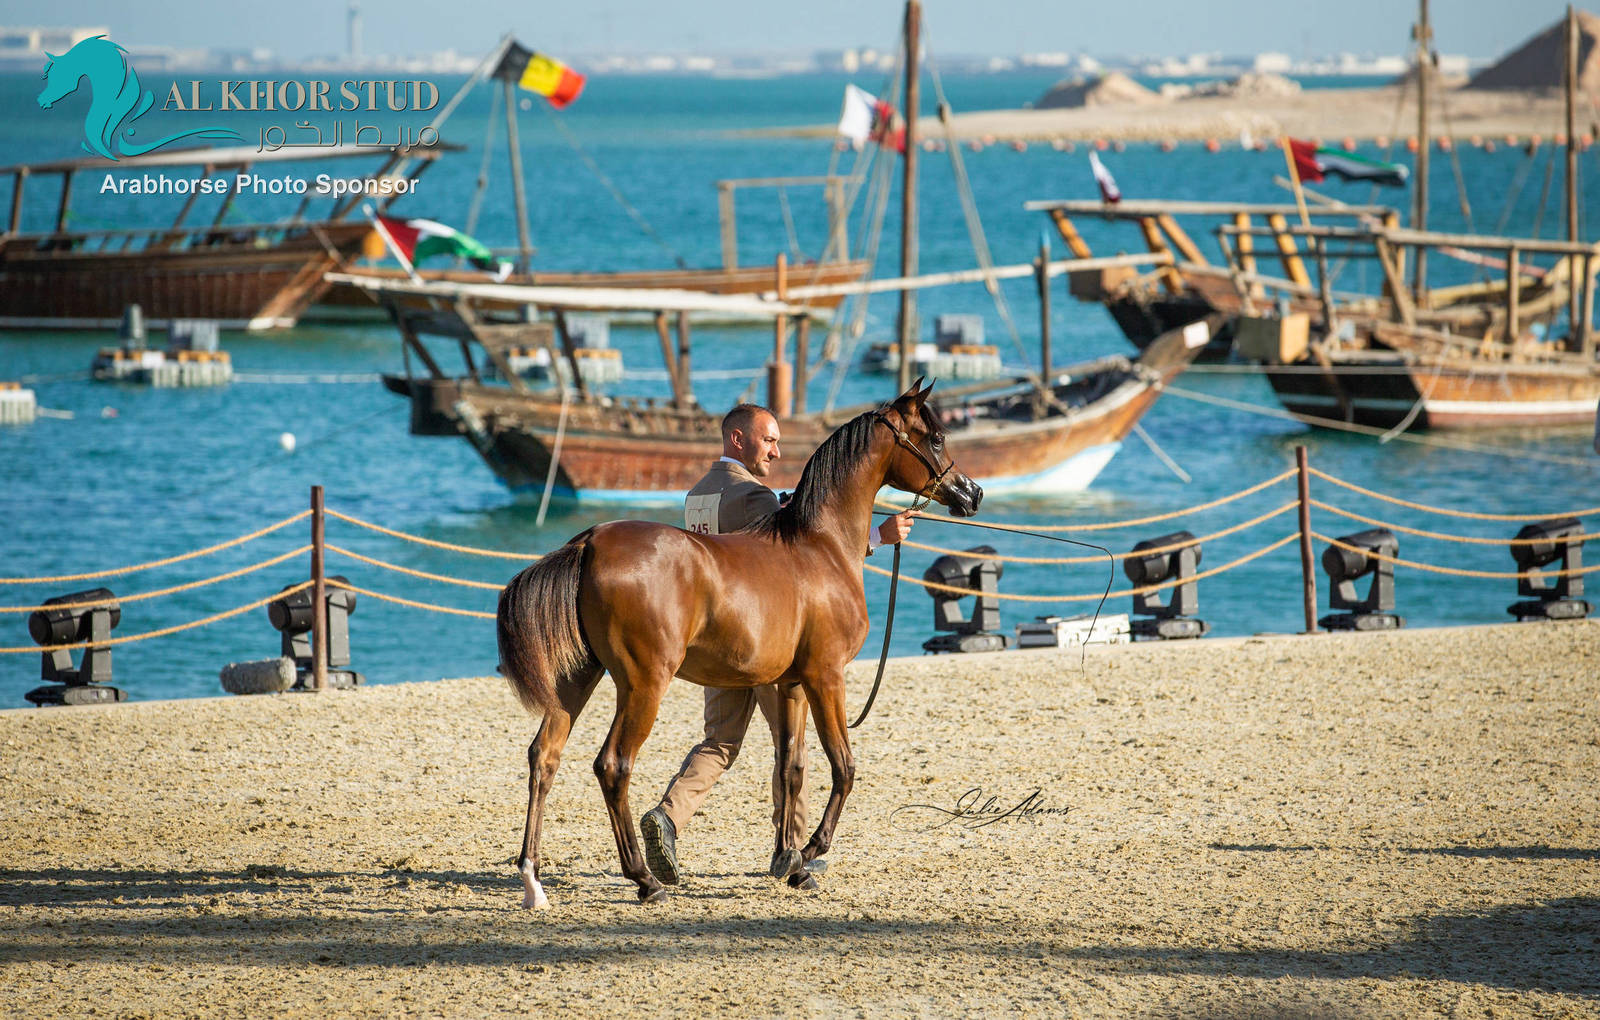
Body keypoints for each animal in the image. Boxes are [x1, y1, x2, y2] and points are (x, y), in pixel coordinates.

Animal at [496, 379, 982, 907]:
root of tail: (589, 542)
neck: (821, 547)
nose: (972, 493)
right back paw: (645, 879)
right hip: (644, 684)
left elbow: (791, 767)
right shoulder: (826, 677)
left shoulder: (792, 685)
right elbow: (844, 766)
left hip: (578, 678)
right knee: (613, 765)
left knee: (544, 757)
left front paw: (791, 863)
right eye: (937, 437)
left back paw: (533, 881)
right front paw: (811, 849)